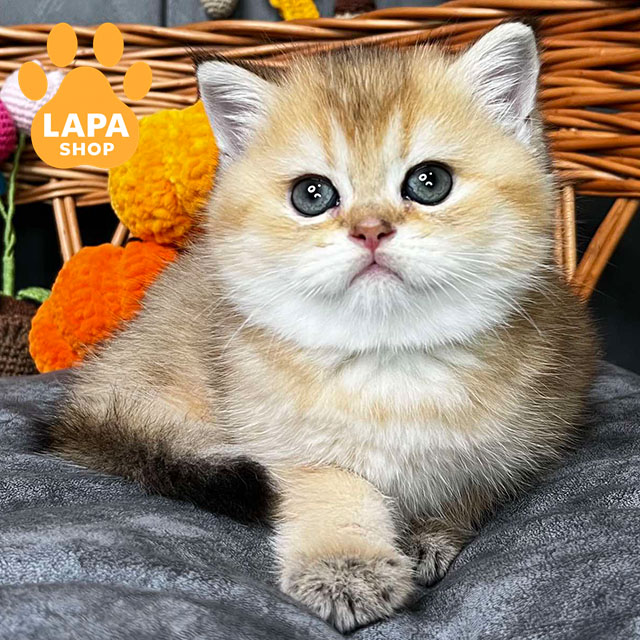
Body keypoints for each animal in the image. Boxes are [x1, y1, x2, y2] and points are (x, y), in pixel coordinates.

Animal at [46, 23, 597, 632]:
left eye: (430, 182)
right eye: (312, 194)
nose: (371, 230)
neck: (389, 365)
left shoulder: (529, 433)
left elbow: (466, 488)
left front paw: (430, 533)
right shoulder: (289, 449)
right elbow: (334, 492)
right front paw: (347, 567)